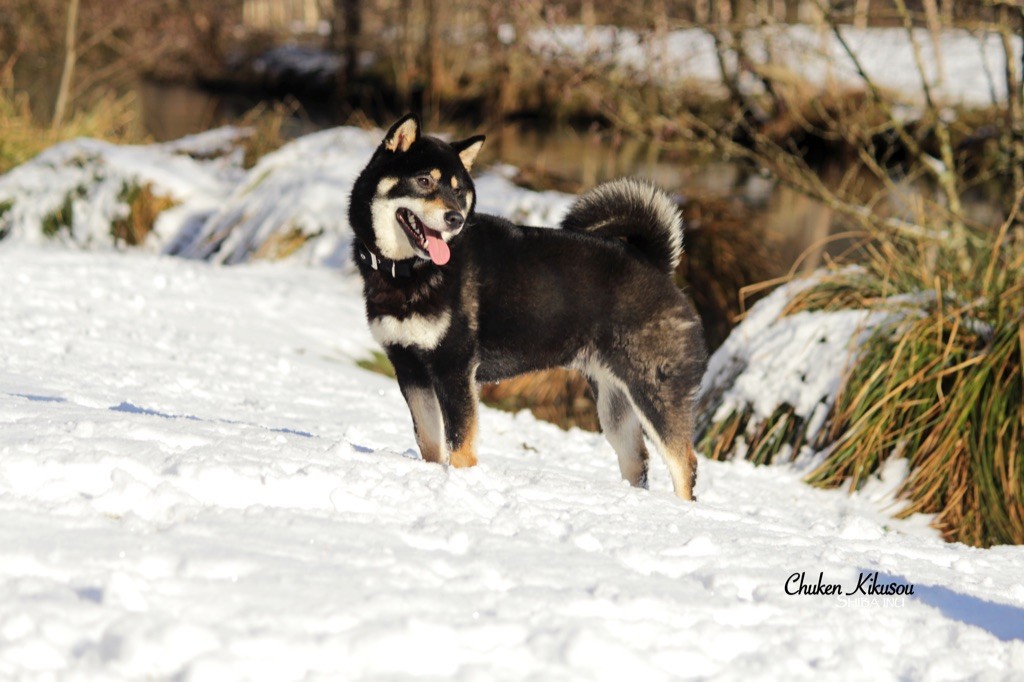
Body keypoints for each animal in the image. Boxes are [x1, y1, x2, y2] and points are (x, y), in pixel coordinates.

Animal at [348, 115, 708, 499]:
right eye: (424, 180)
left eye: (459, 191)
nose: (456, 218)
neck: (408, 272)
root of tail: (656, 265)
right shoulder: (409, 368)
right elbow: (429, 442)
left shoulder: (454, 368)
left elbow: (460, 444)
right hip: (614, 402)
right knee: (637, 461)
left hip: (655, 394)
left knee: (684, 463)